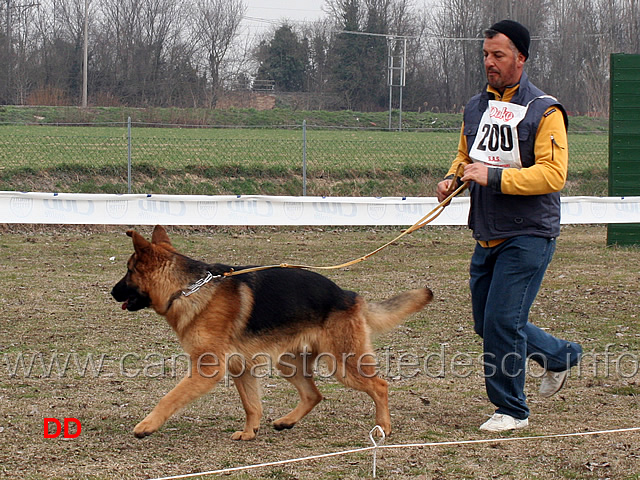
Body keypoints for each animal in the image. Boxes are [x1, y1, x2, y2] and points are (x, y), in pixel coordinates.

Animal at [111, 227, 436, 440]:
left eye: (128, 271)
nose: (112, 293)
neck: (186, 289)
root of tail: (349, 295)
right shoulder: (240, 368)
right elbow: (251, 404)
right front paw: (249, 433)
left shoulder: (208, 368)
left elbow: (169, 398)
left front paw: (147, 426)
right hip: (288, 363)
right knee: (314, 394)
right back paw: (286, 422)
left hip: (342, 364)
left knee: (379, 385)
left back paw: (384, 427)